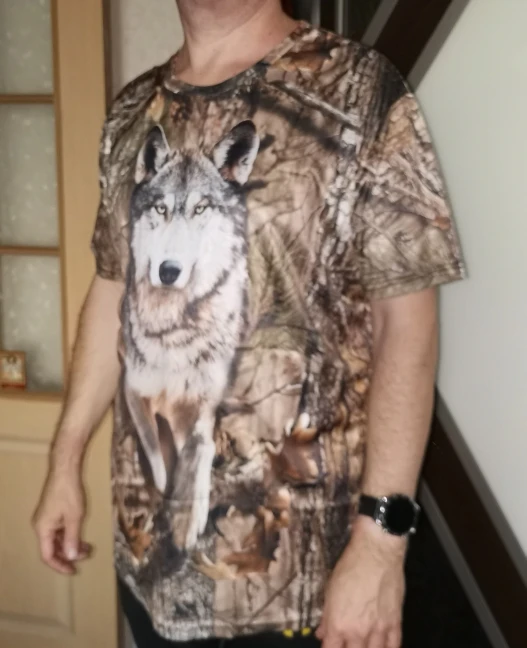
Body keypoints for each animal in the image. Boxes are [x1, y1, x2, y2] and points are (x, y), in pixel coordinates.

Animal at [121, 120, 260, 549]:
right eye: (161, 208)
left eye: (201, 208)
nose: (168, 270)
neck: (172, 334)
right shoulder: (134, 392)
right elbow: (158, 459)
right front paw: (165, 494)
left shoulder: (199, 404)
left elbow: (197, 449)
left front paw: (185, 517)